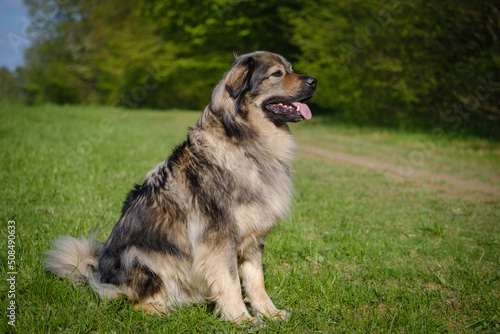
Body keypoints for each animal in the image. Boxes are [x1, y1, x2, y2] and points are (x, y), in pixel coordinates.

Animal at [45, 51, 314, 324]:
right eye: (277, 74)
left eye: (291, 68)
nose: (313, 81)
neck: (243, 143)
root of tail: (98, 276)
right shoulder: (218, 239)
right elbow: (230, 282)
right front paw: (241, 319)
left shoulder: (253, 237)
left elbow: (256, 280)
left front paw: (269, 313)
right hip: (139, 254)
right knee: (135, 303)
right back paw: (163, 311)